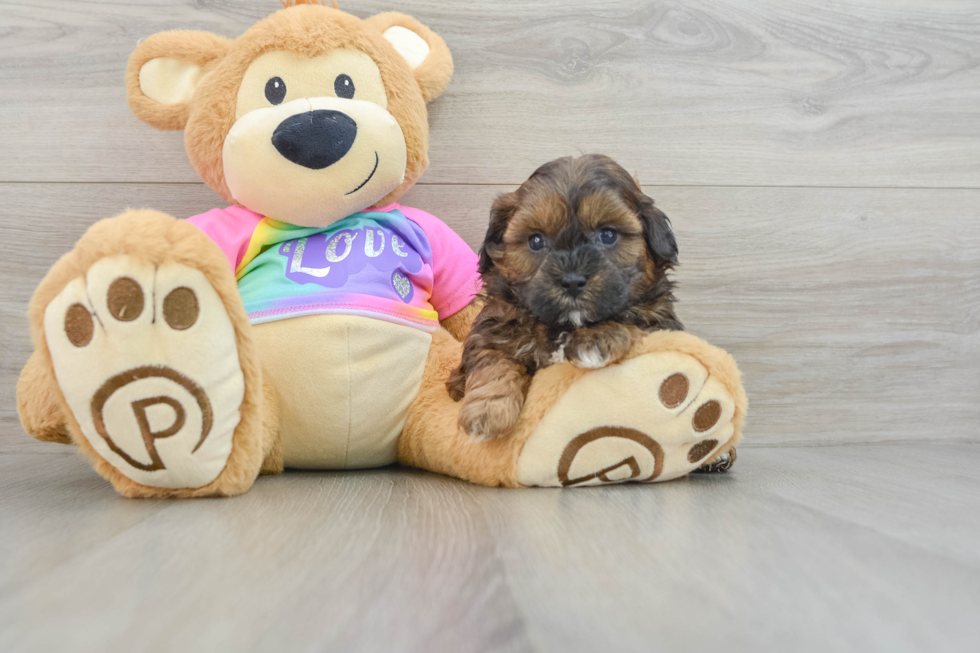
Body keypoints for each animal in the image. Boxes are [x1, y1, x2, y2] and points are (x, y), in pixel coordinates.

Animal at [450, 153, 680, 438]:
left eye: (608, 235)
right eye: (536, 241)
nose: (572, 281)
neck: (563, 324)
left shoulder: (661, 323)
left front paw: (596, 337)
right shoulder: (495, 327)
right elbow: (493, 360)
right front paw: (488, 411)